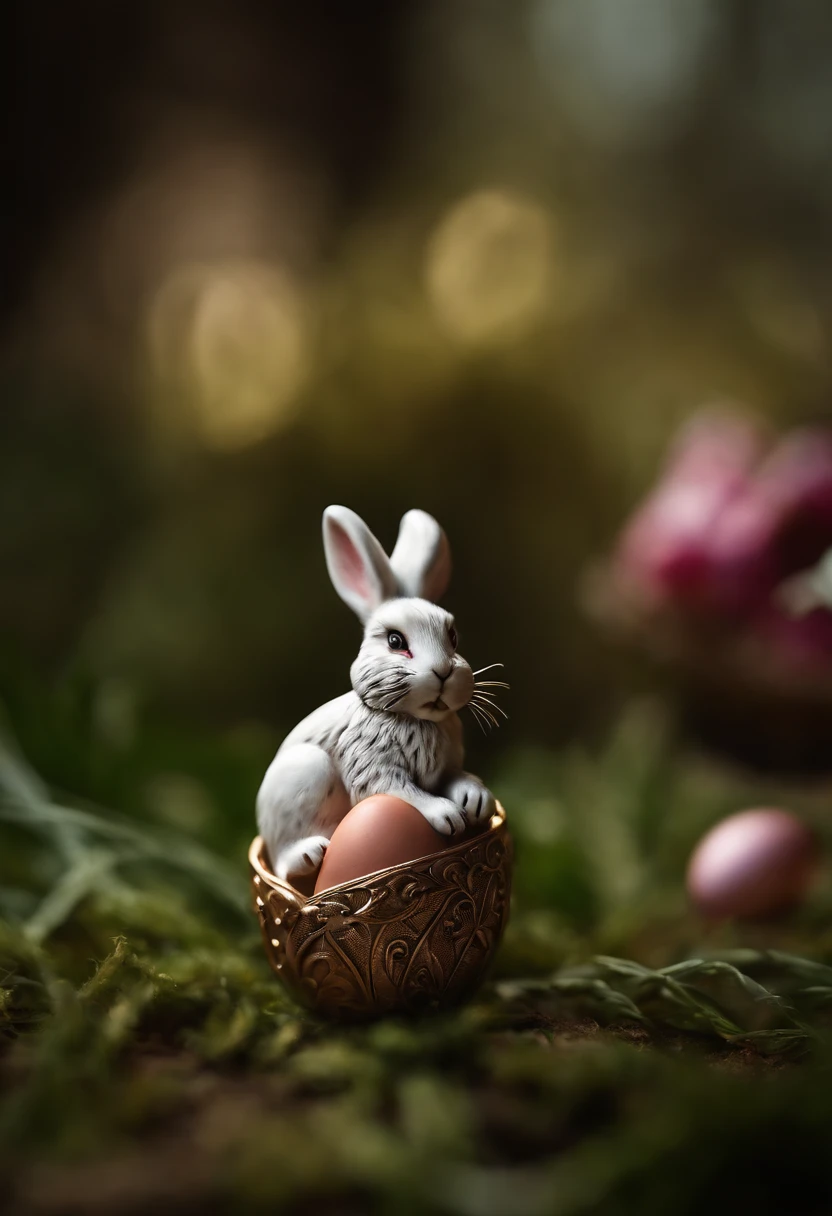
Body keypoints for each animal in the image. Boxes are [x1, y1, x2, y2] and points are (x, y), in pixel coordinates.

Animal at [256, 503, 503, 885]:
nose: (443, 671)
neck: (410, 717)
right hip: (304, 772)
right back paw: (309, 853)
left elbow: (455, 778)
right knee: (284, 862)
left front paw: (476, 800)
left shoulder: (446, 766)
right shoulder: (372, 766)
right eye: (395, 641)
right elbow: (401, 791)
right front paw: (446, 813)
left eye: (453, 637)